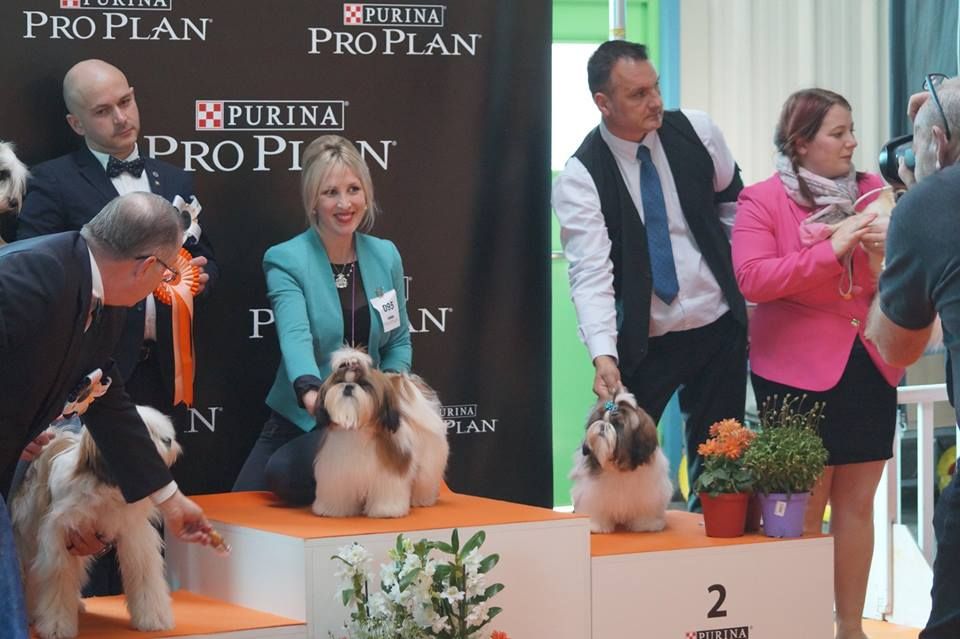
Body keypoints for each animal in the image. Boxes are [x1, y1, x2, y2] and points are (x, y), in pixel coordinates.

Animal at [10, 406, 182, 639]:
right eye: (143, 430)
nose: (168, 441)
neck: (105, 486)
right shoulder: (58, 538)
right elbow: (58, 582)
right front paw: (56, 626)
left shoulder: (135, 534)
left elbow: (145, 575)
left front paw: (154, 618)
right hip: (27, 535)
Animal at [312, 347, 449, 518]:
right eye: (339, 381)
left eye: (363, 384)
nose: (348, 386)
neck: (357, 430)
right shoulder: (338, 473)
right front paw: (332, 510)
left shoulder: (388, 473)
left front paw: (387, 510)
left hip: (428, 463)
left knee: (425, 481)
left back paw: (422, 500)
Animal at [569, 388, 673, 533]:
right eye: (600, 419)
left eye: (617, 424)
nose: (603, 425)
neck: (617, 466)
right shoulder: (593, 494)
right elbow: (596, 508)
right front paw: (596, 525)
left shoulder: (649, 494)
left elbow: (646, 510)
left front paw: (646, 524)